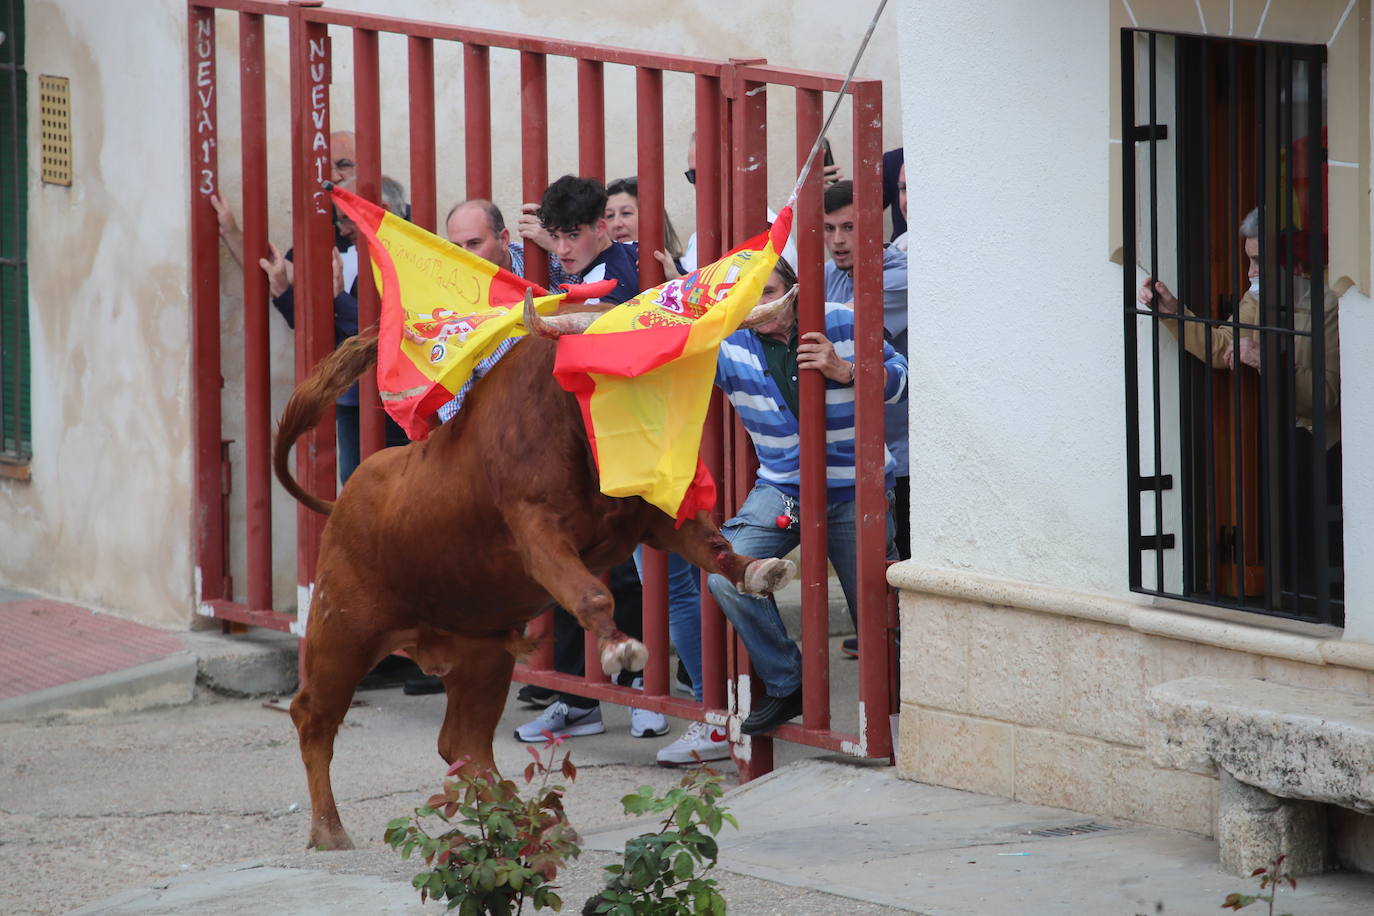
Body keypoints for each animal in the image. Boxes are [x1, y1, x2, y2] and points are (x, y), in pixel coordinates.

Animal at [273, 300, 796, 851]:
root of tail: (343, 499)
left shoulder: (653, 517)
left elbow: (714, 547)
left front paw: (758, 571)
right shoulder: (538, 532)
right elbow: (590, 595)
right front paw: (619, 647)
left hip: (481, 655)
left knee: (463, 744)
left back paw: (532, 824)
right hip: (343, 630)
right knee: (313, 716)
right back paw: (330, 831)